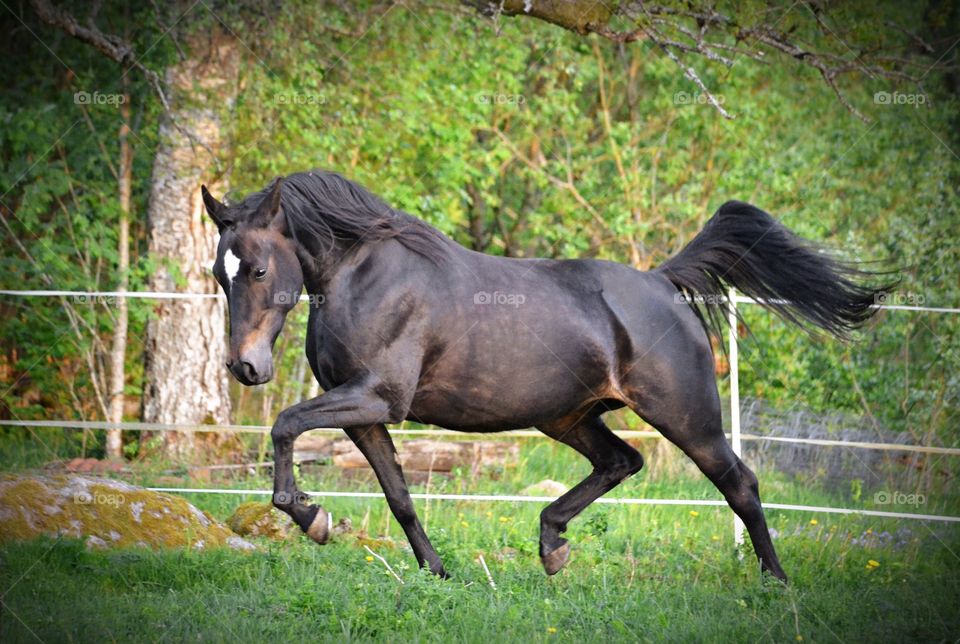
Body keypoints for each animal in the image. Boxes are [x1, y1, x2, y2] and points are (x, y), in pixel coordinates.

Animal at [201, 170, 892, 581]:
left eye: (258, 269)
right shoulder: (365, 414)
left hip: (687, 417)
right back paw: (552, 546)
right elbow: (398, 496)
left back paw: (775, 582)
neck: (366, 275)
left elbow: (285, 425)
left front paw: (307, 514)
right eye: (218, 272)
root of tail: (662, 282)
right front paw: (434, 572)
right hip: (567, 417)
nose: (246, 367)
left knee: (740, 484)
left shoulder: (377, 398)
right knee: (621, 462)